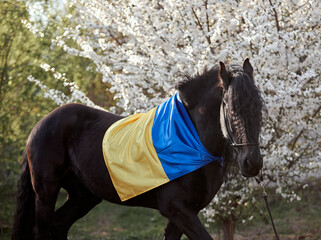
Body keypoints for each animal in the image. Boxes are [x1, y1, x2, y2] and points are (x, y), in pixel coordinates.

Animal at [11, 58, 262, 240]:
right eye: (232, 108)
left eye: (259, 106)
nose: (252, 162)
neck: (191, 139)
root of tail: (41, 124)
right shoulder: (177, 209)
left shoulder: (185, 213)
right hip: (46, 192)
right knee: (42, 231)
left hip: (84, 196)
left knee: (59, 226)